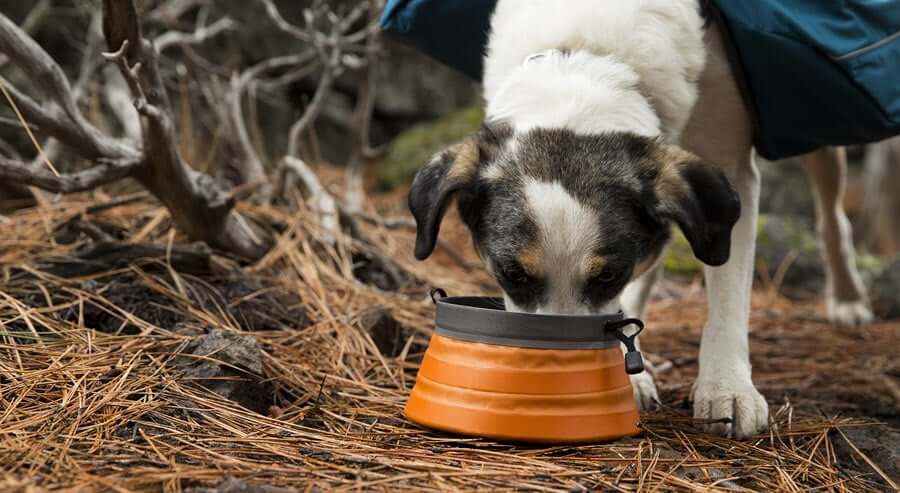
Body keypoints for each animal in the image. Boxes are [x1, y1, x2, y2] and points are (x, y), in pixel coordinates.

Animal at [408, 0, 872, 438]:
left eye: (607, 275)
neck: (589, 54)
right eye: (513, 274)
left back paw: (847, 297)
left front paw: (728, 388)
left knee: (833, 218)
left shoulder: (731, 168)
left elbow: (727, 295)